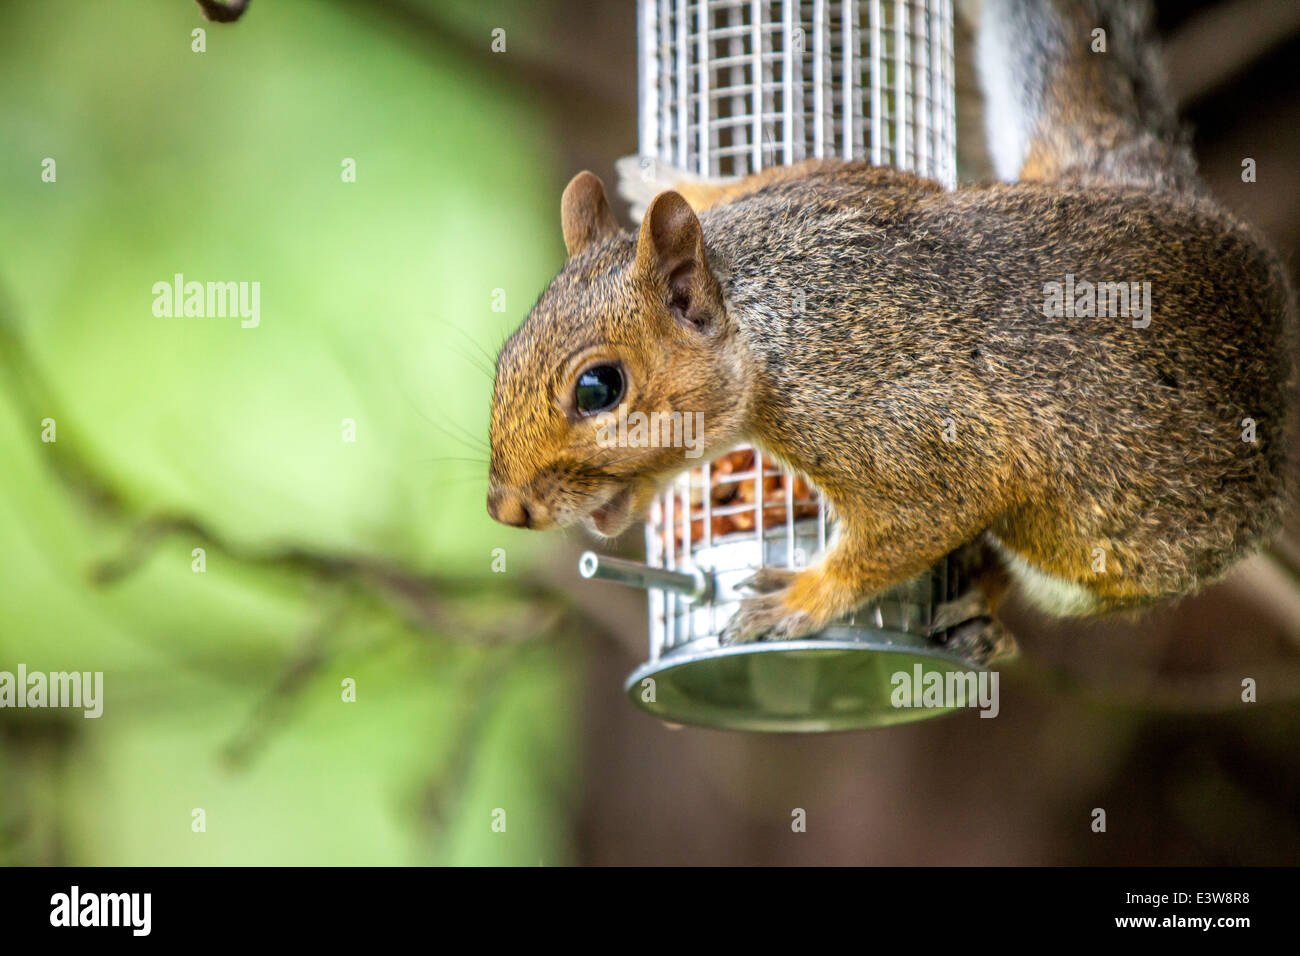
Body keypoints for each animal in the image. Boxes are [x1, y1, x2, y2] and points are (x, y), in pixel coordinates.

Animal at [486, 0, 1289, 650]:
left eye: (599, 388)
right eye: (503, 357)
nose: (506, 509)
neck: (772, 313)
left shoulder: (906, 431)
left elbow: (904, 531)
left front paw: (801, 598)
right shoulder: (844, 187)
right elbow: (810, 172)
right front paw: (677, 179)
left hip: (1106, 556)